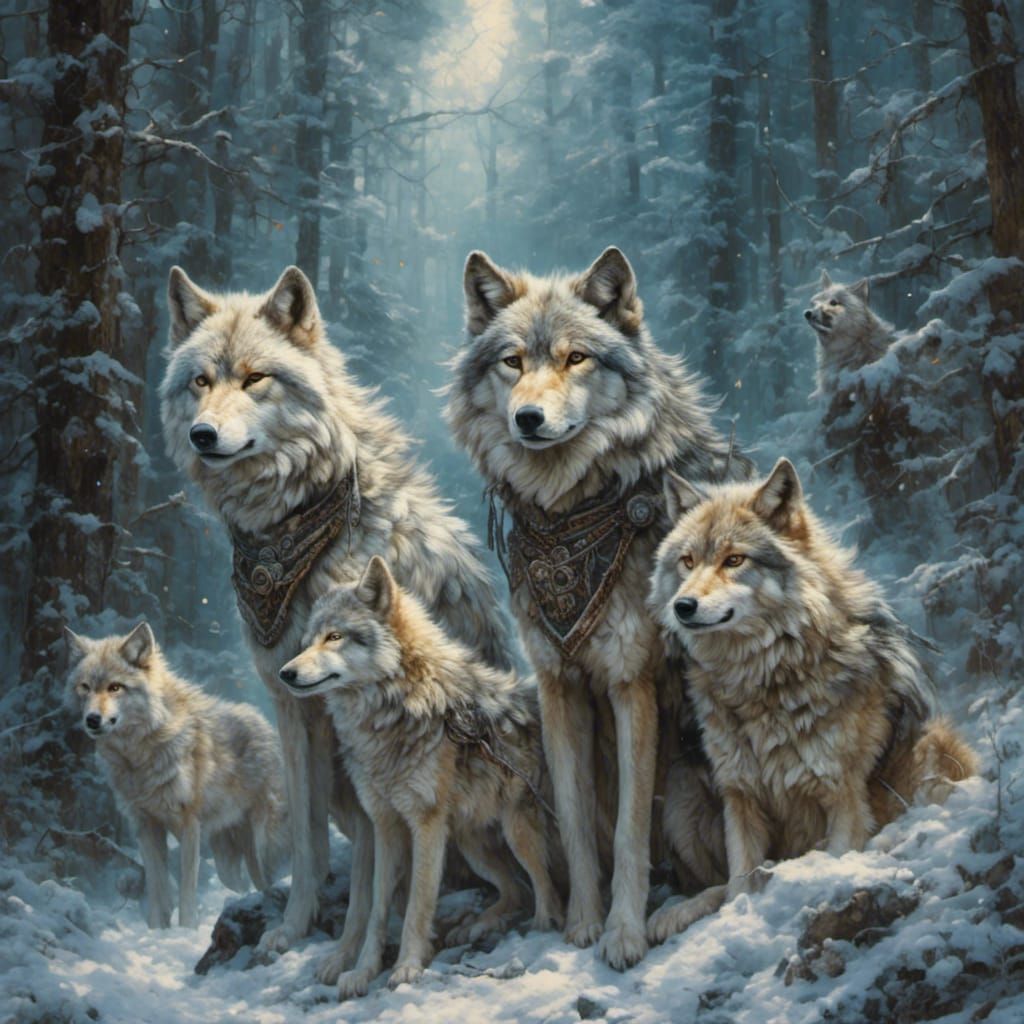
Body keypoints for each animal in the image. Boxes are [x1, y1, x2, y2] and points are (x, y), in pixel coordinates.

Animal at [63, 621, 289, 928]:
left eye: (115, 687)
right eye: (85, 687)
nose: (92, 720)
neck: (139, 755)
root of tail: (267, 726)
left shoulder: (188, 825)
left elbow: (186, 890)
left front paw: (186, 929)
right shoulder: (146, 826)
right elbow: (157, 888)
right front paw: (158, 930)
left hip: (264, 845)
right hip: (226, 858)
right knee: (242, 884)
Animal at [160, 265, 511, 976]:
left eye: (255, 378)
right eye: (201, 381)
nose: (203, 435)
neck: (292, 537)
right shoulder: (291, 704)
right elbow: (306, 834)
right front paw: (296, 929)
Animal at [278, 557, 563, 998]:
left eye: (335, 637)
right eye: (308, 642)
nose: (285, 673)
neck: (397, 707)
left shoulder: (425, 825)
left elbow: (417, 903)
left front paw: (408, 967)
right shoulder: (385, 825)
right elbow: (377, 907)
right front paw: (362, 971)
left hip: (519, 832)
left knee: (545, 891)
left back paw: (540, 931)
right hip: (470, 845)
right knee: (516, 889)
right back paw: (477, 925)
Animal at [445, 247, 745, 968]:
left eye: (576, 358)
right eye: (512, 362)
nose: (528, 418)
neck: (570, 518)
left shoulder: (630, 684)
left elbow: (630, 831)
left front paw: (623, 934)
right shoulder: (559, 687)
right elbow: (580, 824)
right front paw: (582, 922)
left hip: (691, 784)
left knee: (744, 870)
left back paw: (669, 916)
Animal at [646, 458, 978, 942]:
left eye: (734, 560)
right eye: (687, 561)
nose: (682, 605)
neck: (762, 682)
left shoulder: (842, 796)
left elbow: (839, 854)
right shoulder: (739, 797)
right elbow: (740, 881)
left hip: (933, 748)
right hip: (682, 791)